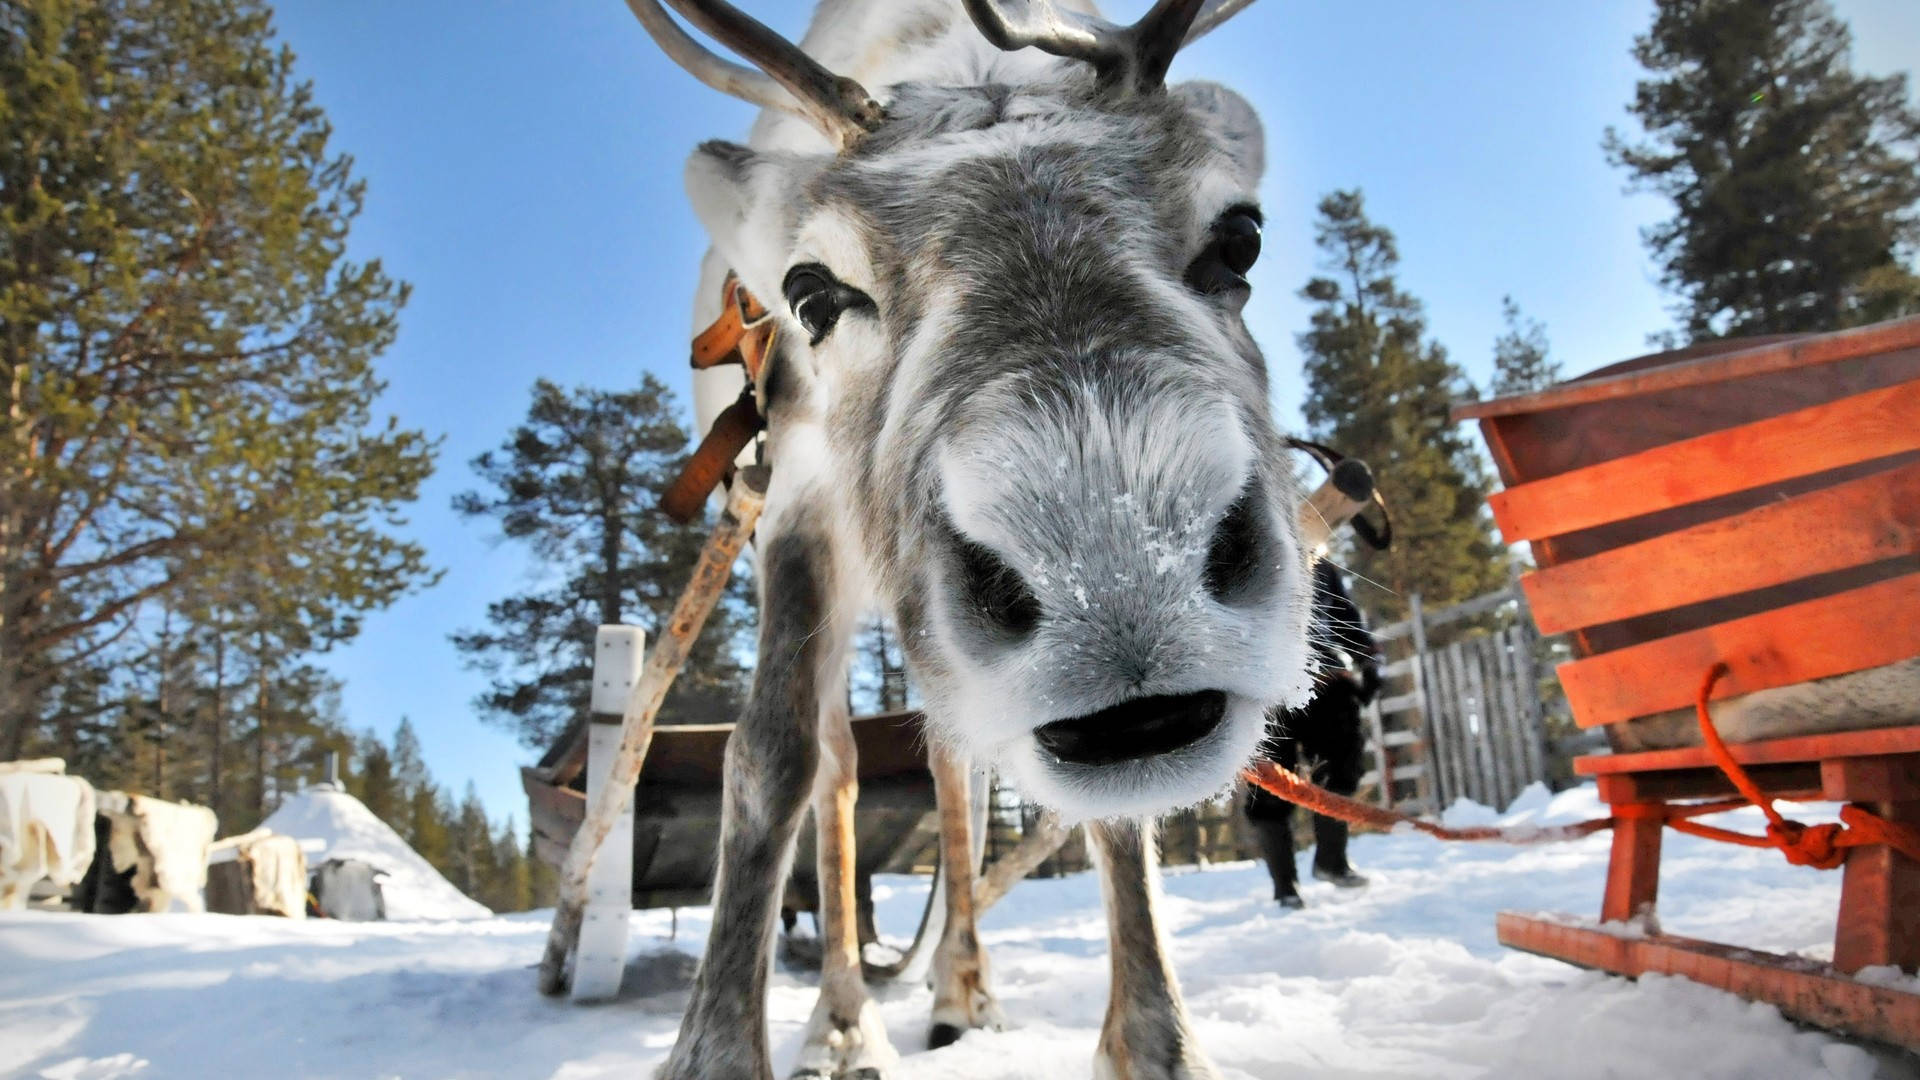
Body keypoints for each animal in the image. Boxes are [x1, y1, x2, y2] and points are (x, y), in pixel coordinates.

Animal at [624, 2, 1311, 1077]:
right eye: (811, 291)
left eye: (1240, 239)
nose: (1114, 576)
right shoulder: (796, 502)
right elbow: (771, 757)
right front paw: (719, 1048)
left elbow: (1112, 824)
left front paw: (1157, 1044)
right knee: (840, 769)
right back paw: (843, 1020)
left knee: (952, 770)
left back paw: (958, 990)